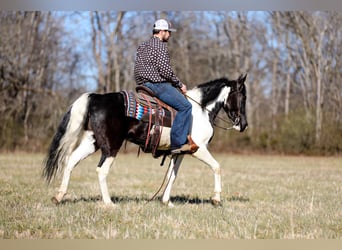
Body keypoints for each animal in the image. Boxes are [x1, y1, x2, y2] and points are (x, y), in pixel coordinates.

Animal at [42, 73, 247, 207]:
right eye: (242, 97)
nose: (243, 125)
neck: (201, 110)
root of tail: (97, 98)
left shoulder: (179, 152)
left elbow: (172, 175)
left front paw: (166, 202)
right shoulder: (200, 149)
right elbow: (217, 167)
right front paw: (216, 199)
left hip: (92, 142)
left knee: (70, 162)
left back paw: (59, 196)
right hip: (111, 146)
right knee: (101, 170)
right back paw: (109, 203)